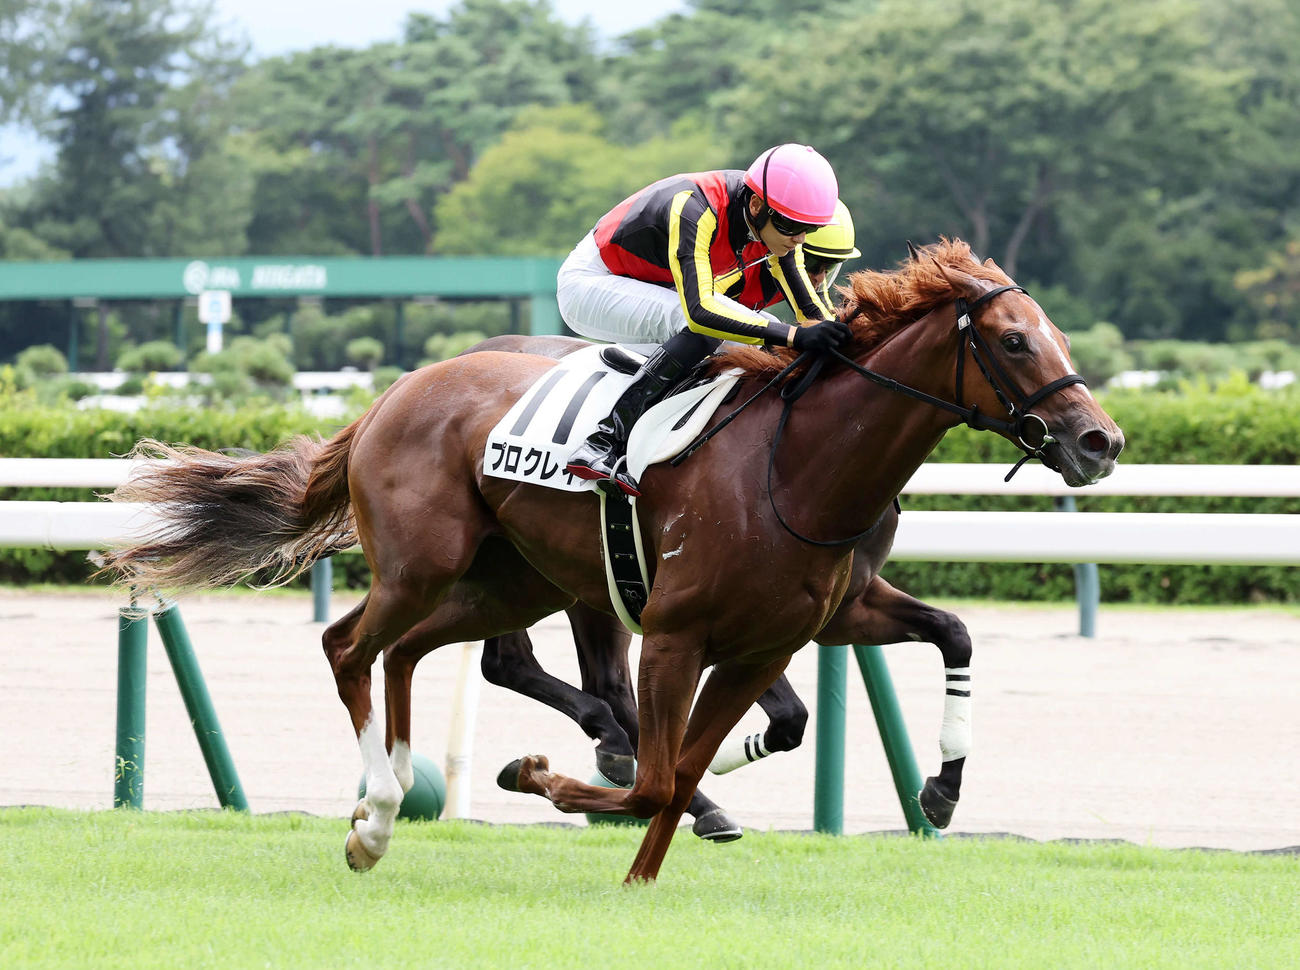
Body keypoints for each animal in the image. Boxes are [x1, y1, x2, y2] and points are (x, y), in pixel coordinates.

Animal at [435, 332, 974, 843]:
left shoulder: (845, 607)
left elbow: (950, 631)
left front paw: (942, 791)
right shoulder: (725, 607)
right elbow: (788, 714)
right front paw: (716, 760)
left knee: (561, 673)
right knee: (546, 672)